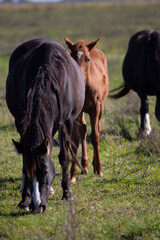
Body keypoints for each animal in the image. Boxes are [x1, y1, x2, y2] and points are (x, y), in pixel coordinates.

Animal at [5, 37, 85, 212]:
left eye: (45, 171)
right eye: (30, 172)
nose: (37, 207)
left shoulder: (67, 122)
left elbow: (64, 157)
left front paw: (67, 194)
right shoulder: (23, 121)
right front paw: (24, 200)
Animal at [64, 36, 109, 182]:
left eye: (88, 59)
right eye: (71, 57)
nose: (78, 80)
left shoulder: (96, 107)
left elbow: (95, 136)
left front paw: (99, 169)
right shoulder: (76, 111)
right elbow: (75, 139)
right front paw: (73, 174)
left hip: (101, 106)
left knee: (97, 128)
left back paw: (94, 165)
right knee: (83, 130)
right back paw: (84, 166)